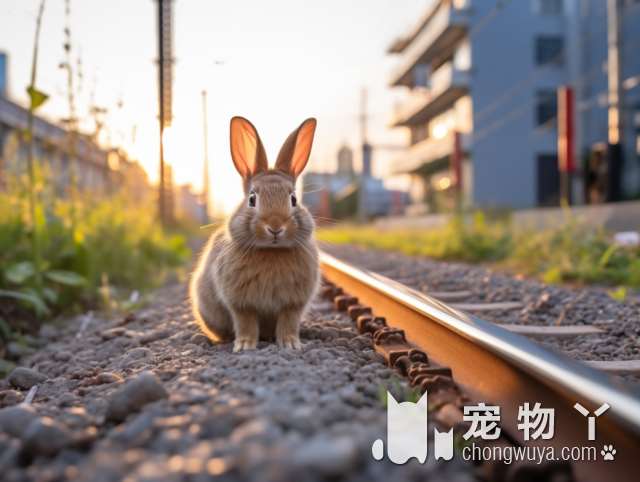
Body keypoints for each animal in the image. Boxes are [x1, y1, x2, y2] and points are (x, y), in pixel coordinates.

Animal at [190, 116, 320, 350]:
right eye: (252, 199)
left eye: (293, 199)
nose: (275, 227)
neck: (271, 251)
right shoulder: (241, 304)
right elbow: (246, 323)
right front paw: (245, 346)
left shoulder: (293, 304)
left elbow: (288, 322)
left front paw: (291, 344)